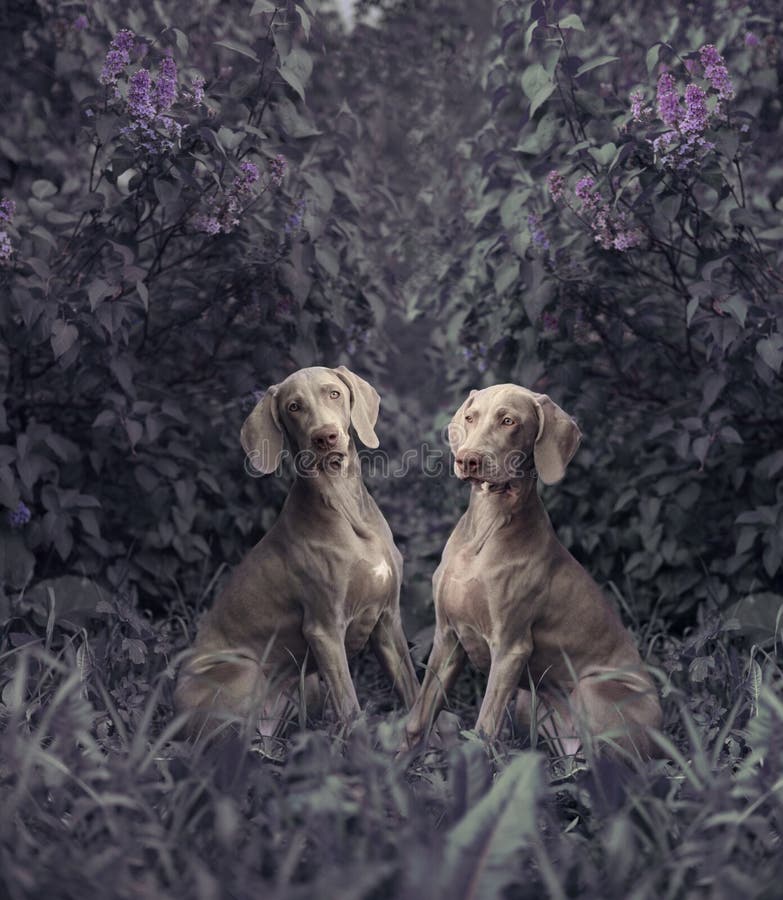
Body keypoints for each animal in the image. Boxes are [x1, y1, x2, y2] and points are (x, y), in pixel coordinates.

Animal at [176, 366, 422, 740]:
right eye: (294, 407)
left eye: (334, 393)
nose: (326, 437)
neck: (345, 507)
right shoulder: (325, 630)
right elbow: (351, 708)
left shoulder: (387, 618)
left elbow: (414, 691)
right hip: (247, 672)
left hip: (309, 685)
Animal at [402, 382, 664, 760]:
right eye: (470, 417)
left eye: (509, 421)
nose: (467, 458)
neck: (486, 528)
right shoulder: (448, 636)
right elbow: (418, 719)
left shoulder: (510, 647)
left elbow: (483, 729)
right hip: (530, 702)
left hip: (592, 691)